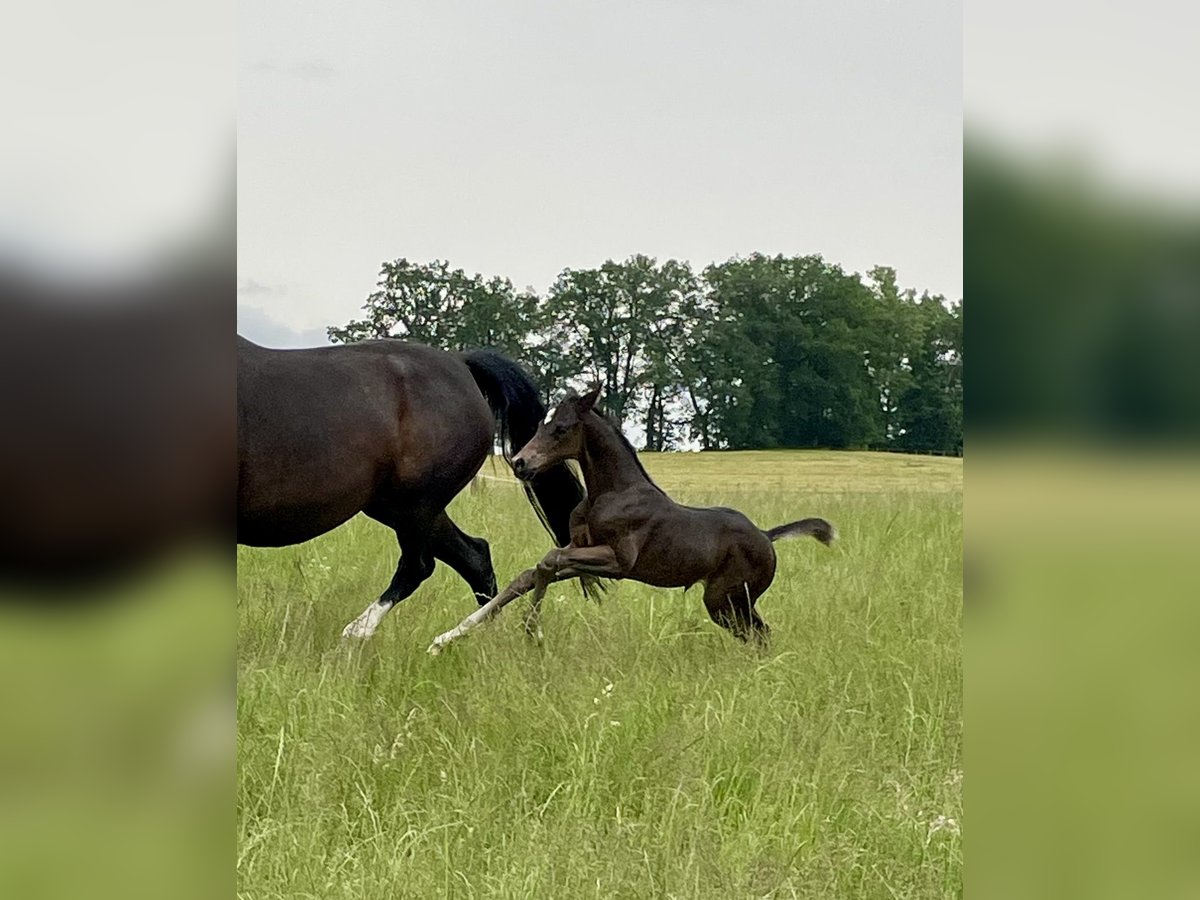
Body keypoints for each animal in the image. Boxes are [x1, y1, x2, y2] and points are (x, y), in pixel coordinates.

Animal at [432, 384, 835, 652]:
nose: (519, 463)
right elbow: (531, 574)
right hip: (732, 602)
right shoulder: (582, 550)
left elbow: (548, 561)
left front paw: (533, 632)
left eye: (561, 429)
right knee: (759, 634)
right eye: (540, 427)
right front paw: (445, 638)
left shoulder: (618, 561)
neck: (610, 493)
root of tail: (767, 535)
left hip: (726, 599)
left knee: (759, 634)